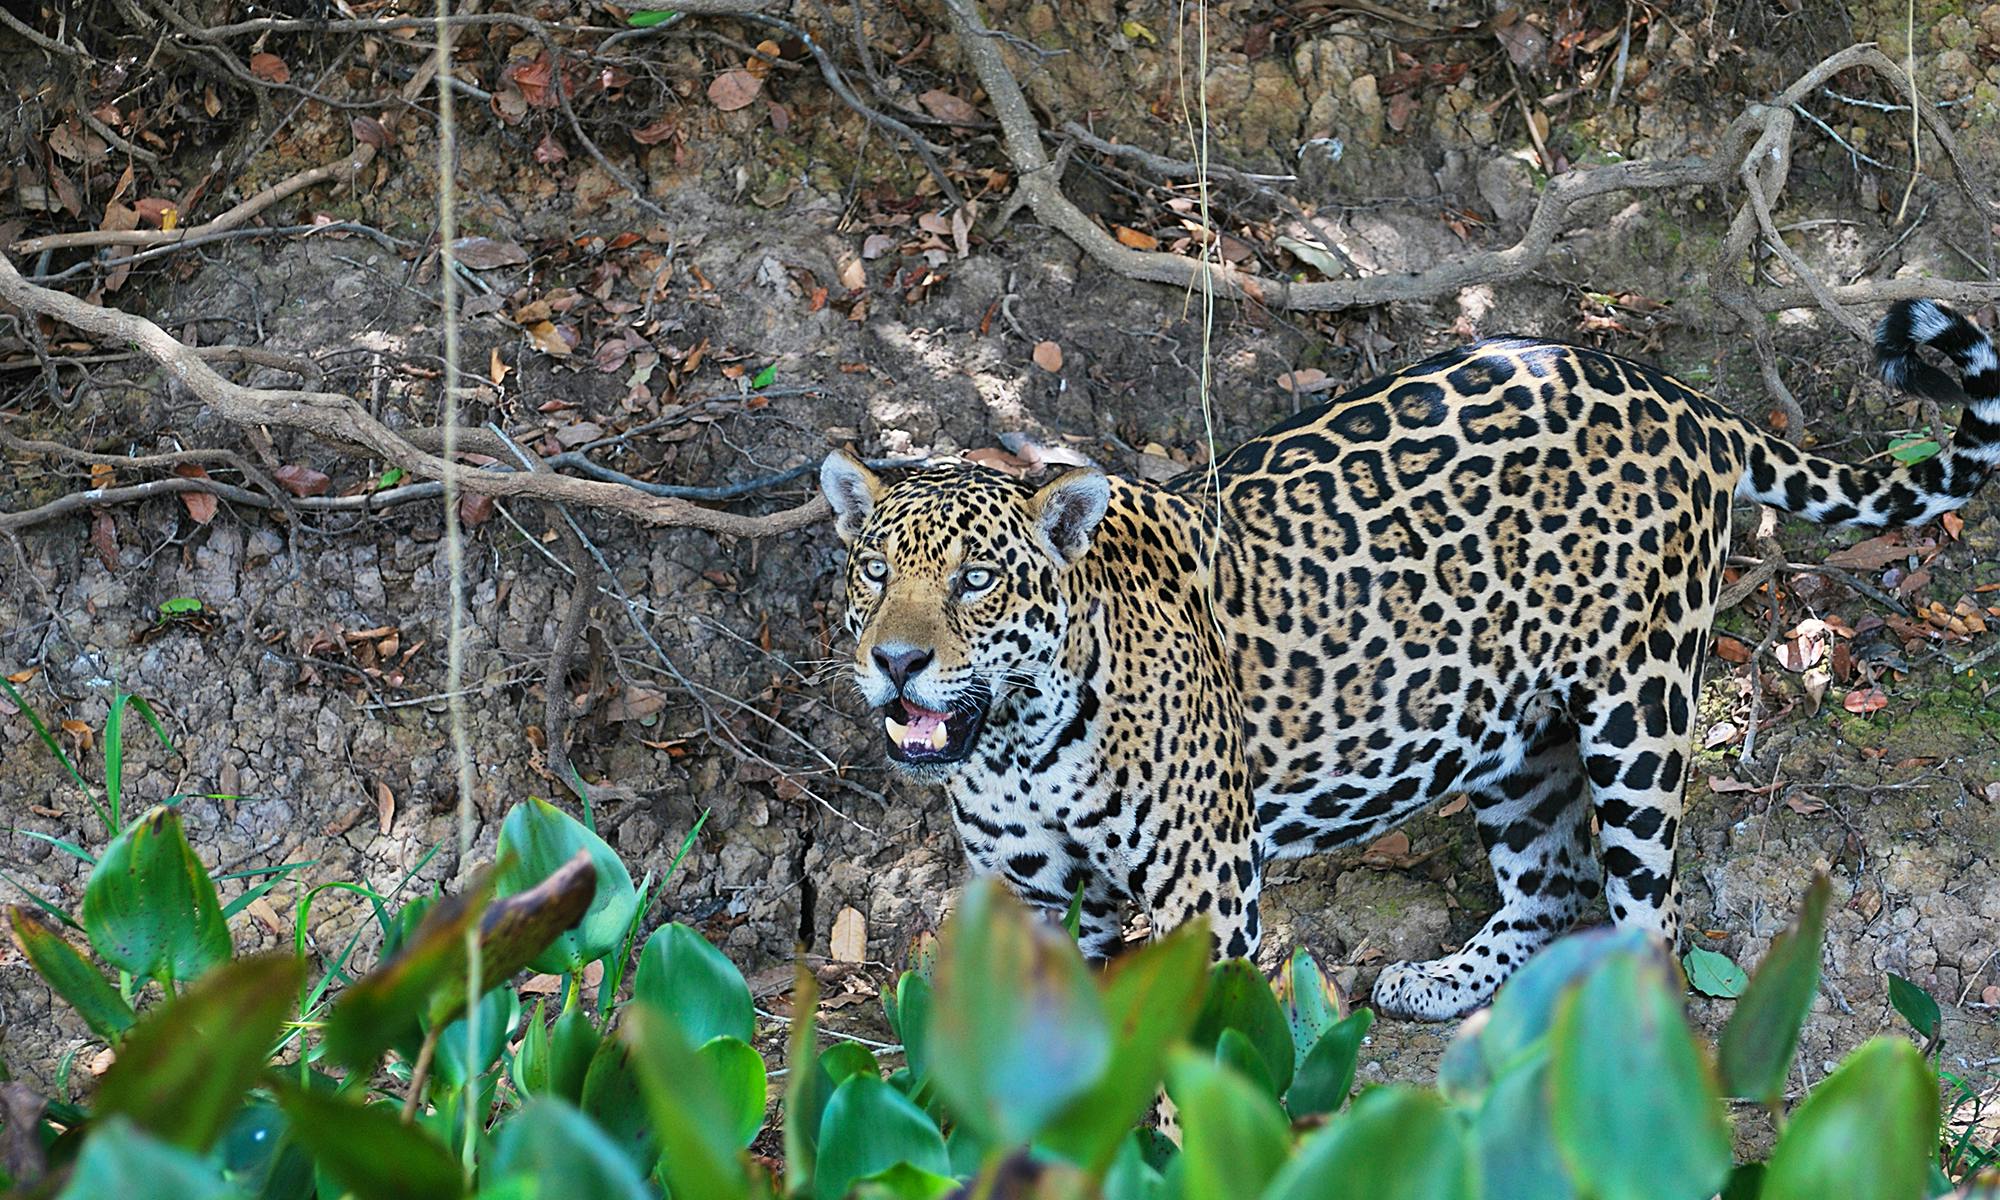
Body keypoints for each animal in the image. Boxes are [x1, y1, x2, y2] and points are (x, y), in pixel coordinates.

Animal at [819, 299, 1999, 1020]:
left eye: (978, 579)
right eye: (873, 570)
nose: (897, 662)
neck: (1017, 747)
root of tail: (1678, 395)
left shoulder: (1209, 895)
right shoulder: (1030, 906)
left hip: (1639, 712)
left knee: (1644, 912)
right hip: (1514, 737)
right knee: (1552, 884)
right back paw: (1441, 986)